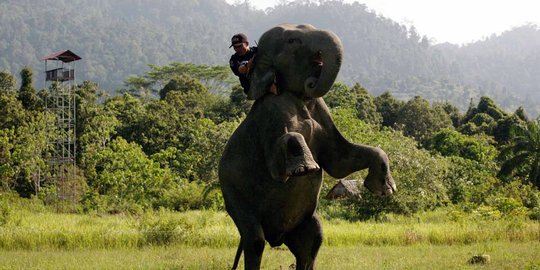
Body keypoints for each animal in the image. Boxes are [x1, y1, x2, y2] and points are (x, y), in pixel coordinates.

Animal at [217, 24, 394, 268]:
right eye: (293, 41)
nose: (312, 81)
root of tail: (276, 237)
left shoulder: (322, 112)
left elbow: (340, 161)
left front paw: (385, 190)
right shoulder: (270, 115)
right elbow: (281, 160)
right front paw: (306, 168)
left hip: (303, 222)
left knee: (313, 240)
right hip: (234, 197)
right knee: (255, 240)